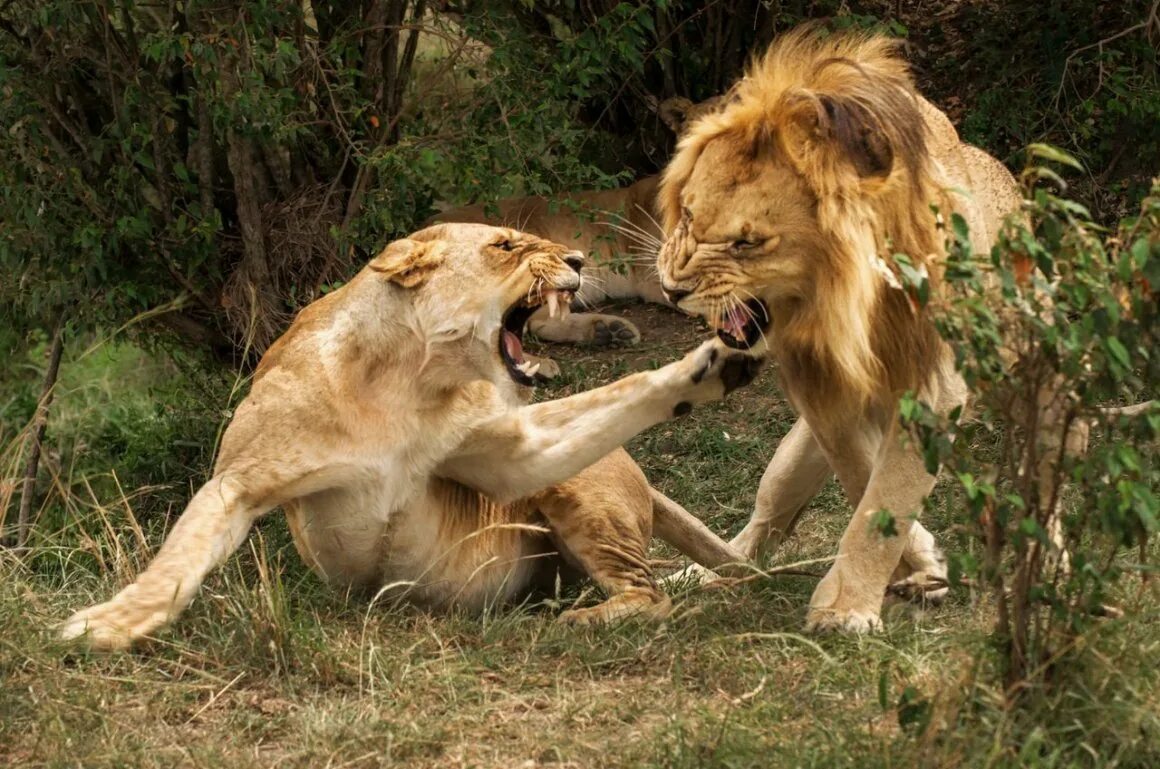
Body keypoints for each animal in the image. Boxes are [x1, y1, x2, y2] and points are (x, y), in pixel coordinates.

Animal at [63, 222, 756, 649]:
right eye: (505, 244)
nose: (580, 261)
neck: (408, 383)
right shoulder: (239, 481)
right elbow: (176, 564)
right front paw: (108, 625)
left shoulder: (508, 454)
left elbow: (623, 391)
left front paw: (709, 370)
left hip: (581, 493)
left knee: (649, 595)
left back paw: (576, 620)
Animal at [658, 28, 1020, 630]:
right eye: (686, 215)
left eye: (748, 243)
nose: (670, 290)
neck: (841, 303)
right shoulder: (817, 385)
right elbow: (861, 478)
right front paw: (914, 563)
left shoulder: (934, 386)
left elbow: (888, 491)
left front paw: (848, 607)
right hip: (788, 461)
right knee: (759, 529)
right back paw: (692, 577)